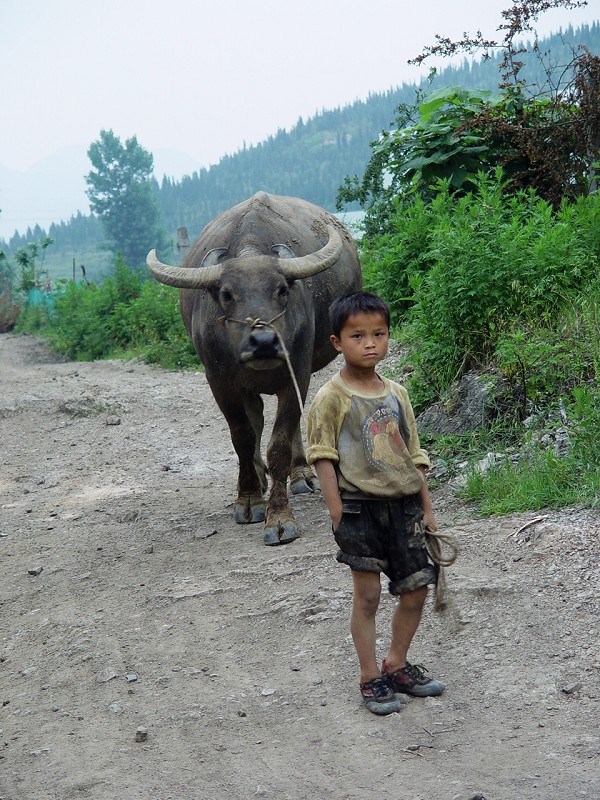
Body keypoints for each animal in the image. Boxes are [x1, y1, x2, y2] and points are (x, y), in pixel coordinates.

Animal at [146, 191, 360, 548]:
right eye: (226, 294)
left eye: (282, 290)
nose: (263, 342)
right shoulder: (221, 383)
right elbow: (243, 436)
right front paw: (248, 500)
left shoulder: (297, 373)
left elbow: (280, 443)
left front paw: (279, 518)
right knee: (256, 419)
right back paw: (258, 479)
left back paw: (300, 476)